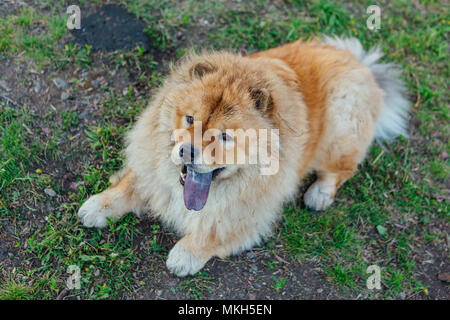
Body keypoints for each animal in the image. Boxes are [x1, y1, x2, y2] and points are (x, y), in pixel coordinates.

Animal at [77, 37, 408, 276]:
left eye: (225, 136)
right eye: (189, 119)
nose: (187, 151)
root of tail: (362, 65)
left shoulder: (251, 209)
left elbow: (213, 229)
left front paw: (185, 255)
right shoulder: (149, 161)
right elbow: (131, 182)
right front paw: (97, 205)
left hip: (342, 118)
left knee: (339, 171)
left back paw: (319, 194)